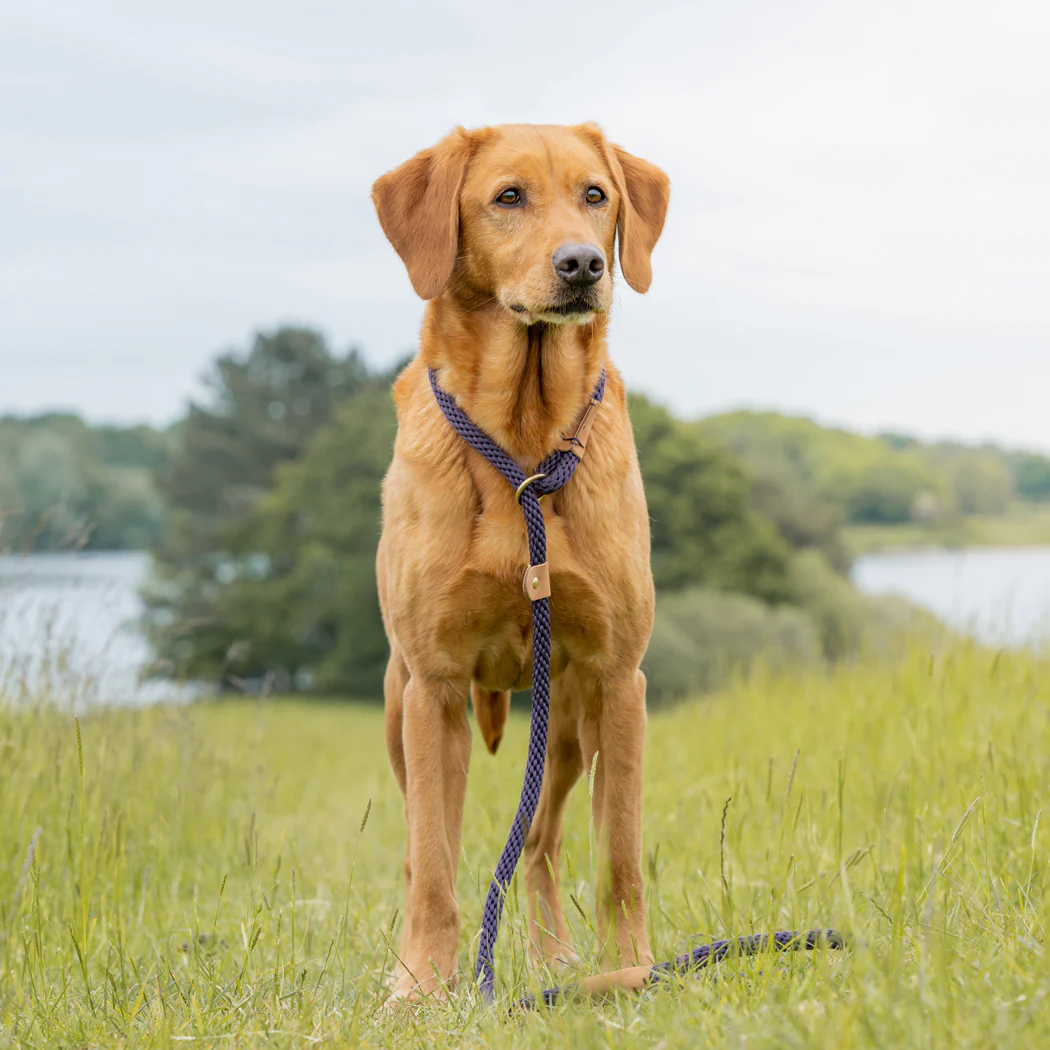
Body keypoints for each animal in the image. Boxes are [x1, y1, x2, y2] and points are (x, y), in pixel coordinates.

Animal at [373, 122, 667, 999]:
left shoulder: (618, 679)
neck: (526, 448)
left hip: (565, 722)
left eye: (595, 195)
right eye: (508, 197)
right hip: (402, 713)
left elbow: (619, 861)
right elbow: (434, 868)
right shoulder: (434, 687)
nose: (583, 264)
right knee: (423, 850)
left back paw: (556, 960)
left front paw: (633, 970)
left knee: (538, 843)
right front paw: (422, 987)